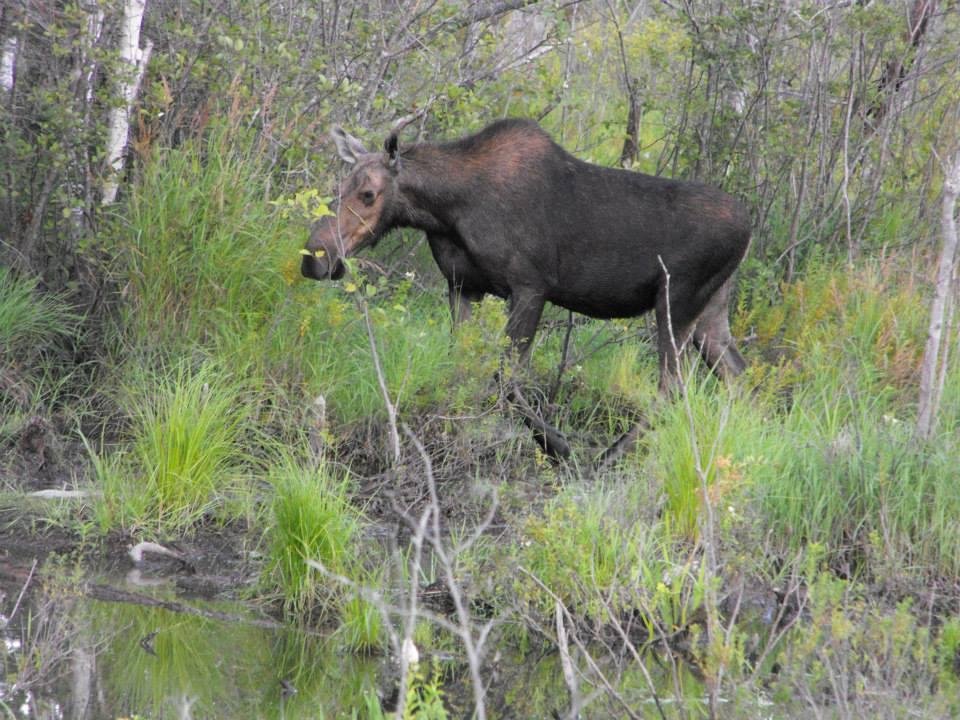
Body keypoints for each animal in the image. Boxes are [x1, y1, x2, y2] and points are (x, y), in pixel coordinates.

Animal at [302, 119, 752, 400]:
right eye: (340, 187)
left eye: (368, 194)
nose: (315, 257)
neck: (446, 213)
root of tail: (750, 227)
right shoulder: (463, 286)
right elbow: (461, 362)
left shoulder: (530, 287)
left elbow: (508, 376)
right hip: (710, 310)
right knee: (737, 377)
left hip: (676, 302)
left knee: (671, 389)